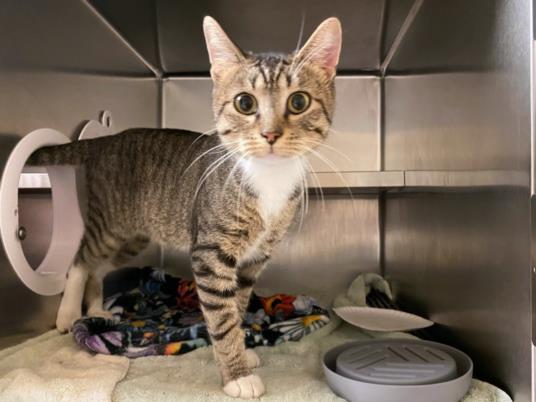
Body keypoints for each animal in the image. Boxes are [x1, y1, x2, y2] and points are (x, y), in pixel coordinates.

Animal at [28, 16, 340, 398]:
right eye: (245, 103)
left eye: (298, 101)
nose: (270, 134)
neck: (267, 180)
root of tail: (108, 140)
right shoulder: (211, 253)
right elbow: (221, 317)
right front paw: (236, 375)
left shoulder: (253, 259)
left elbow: (236, 308)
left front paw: (240, 351)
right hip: (110, 222)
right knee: (82, 258)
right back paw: (70, 313)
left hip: (135, 237)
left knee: (99, 267)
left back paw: (98, 308)